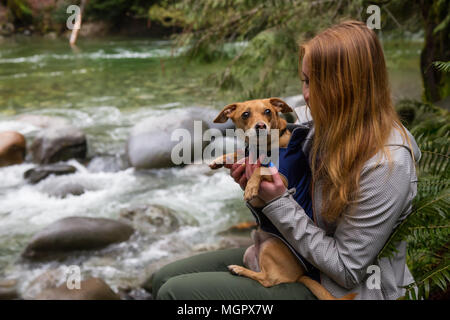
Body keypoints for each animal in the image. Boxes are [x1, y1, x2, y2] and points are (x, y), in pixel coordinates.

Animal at [210, 97, 356, 300]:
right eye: (245, 114)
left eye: (268, 111)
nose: (261, 126)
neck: (262, 148)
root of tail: (299, 276)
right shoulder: (248, 153)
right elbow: (241, 154)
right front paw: (220, 159)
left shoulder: (282, 179)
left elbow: (260, 169)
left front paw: (251, 186)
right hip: (250, 252)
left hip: (270, 246)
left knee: (268, 280)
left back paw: (238, 270)